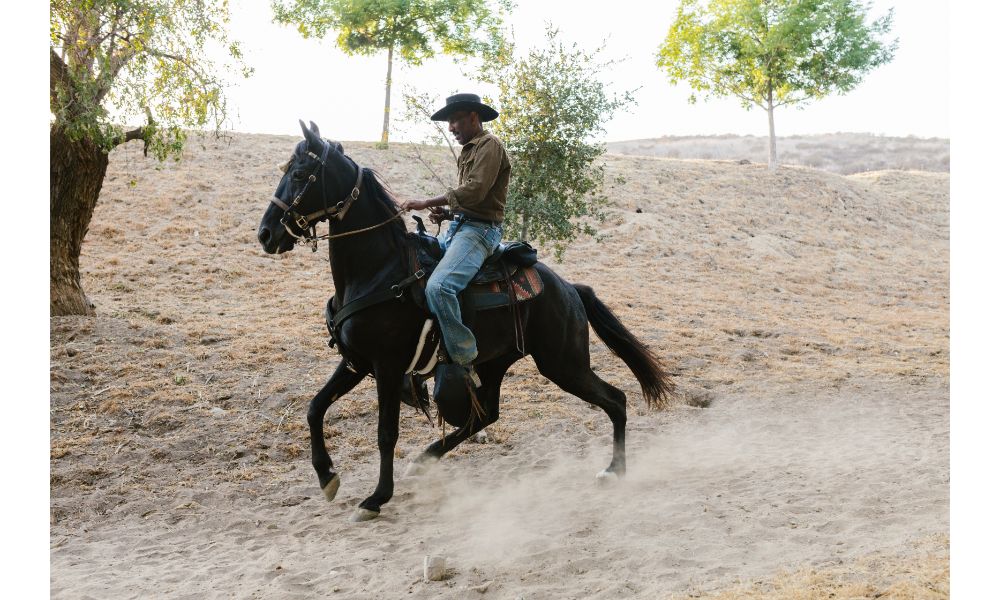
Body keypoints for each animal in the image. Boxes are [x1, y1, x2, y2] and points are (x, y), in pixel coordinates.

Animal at [257, 120, 673, 522]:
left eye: (300, 173)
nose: (266, 234)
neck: (378, 272)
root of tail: (570, 288)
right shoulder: (356, 362)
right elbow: (315, 408)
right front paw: (327, 477)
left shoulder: (387, 367)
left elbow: (385, 432)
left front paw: (376, 498)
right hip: (497, 363)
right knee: (487, 413)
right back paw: (424, 459)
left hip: (563, 363)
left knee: (615, 400)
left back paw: (614, 471)